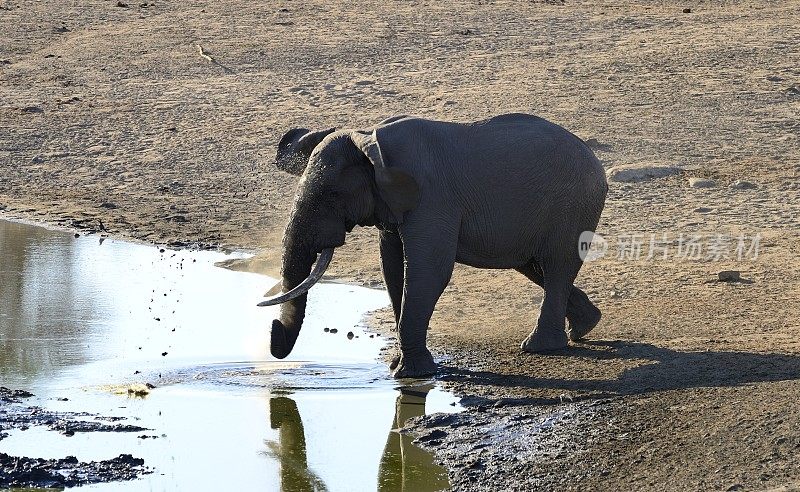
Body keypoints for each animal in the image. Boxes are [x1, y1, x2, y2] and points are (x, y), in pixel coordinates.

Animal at [260, 113, 608, 378]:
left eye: (331, 195)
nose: (273, 331)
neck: (369, 137)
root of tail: (594, 158)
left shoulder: (432, 200)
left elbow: (427, 273)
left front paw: (410, 374)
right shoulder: (392, 204)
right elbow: (393, 270)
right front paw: (397, 366)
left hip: (573, 205)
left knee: (556, 265)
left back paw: (540, 347)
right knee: (535, 266)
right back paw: (584, 327)